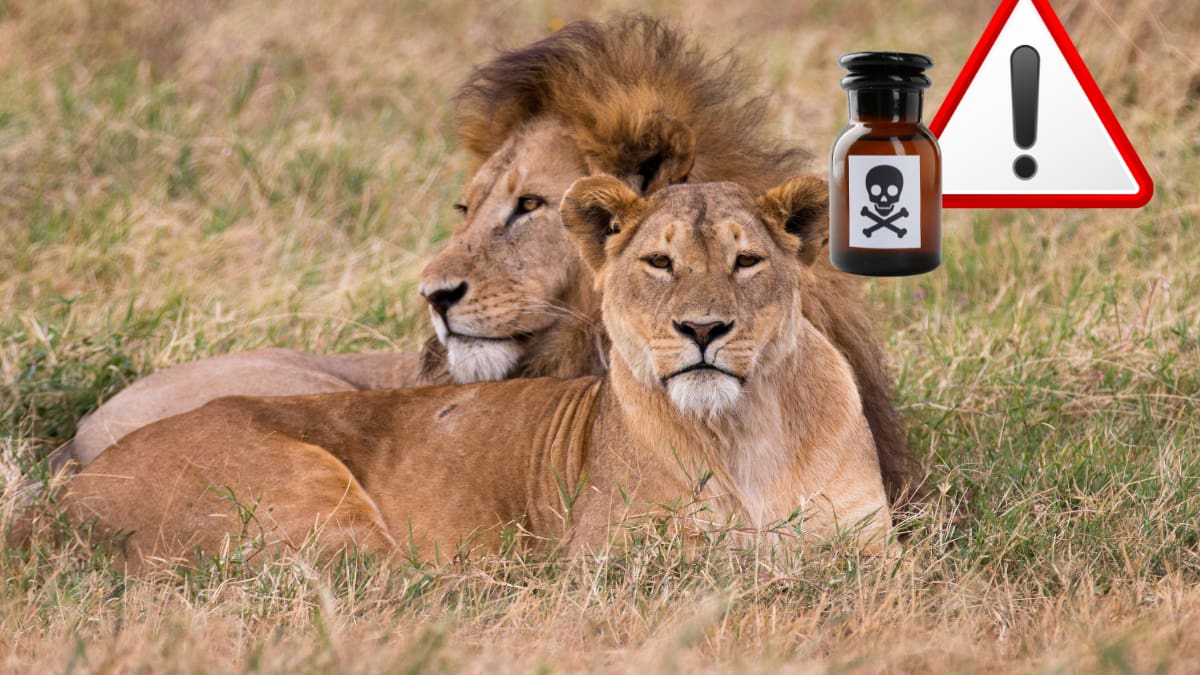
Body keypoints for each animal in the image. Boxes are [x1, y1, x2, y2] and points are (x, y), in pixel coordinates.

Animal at [62, 176, 891, 571]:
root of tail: (72, 488)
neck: (746, 428)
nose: (704, 329)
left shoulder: (870, 548)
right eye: (660, 263)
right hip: (308, 496)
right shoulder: (618, 560)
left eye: (746, 261)